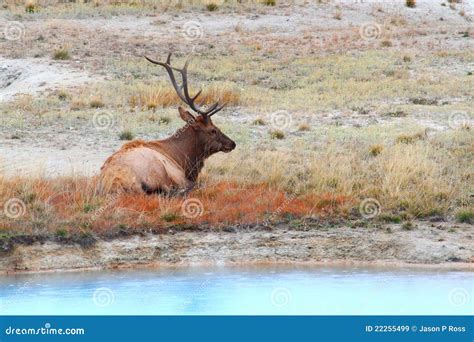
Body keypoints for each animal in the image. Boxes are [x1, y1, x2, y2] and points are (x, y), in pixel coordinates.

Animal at [99, 52, 236, 194]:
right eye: (213, 130)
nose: (232, 143)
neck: (184, 159)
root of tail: (113, 183)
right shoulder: (180, 175)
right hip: (158, 169)